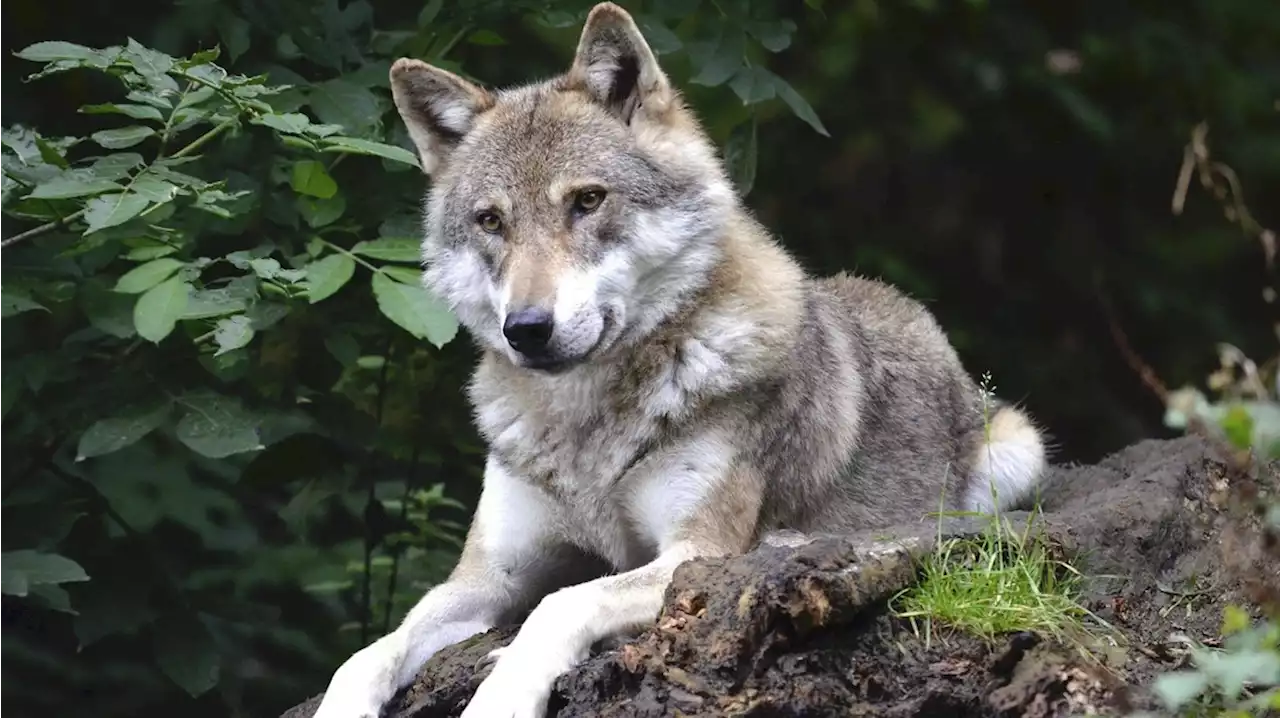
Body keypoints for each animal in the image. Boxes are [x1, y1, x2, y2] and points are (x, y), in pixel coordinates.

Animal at [312, 2, 1049, 711]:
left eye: (587, 200)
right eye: (491, 221)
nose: (526, 328)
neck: (586, 429)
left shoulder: (695, 552)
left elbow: (560, 604)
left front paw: (502, 696)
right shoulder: (488, 576)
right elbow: (367, 652)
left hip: (1015, 454)